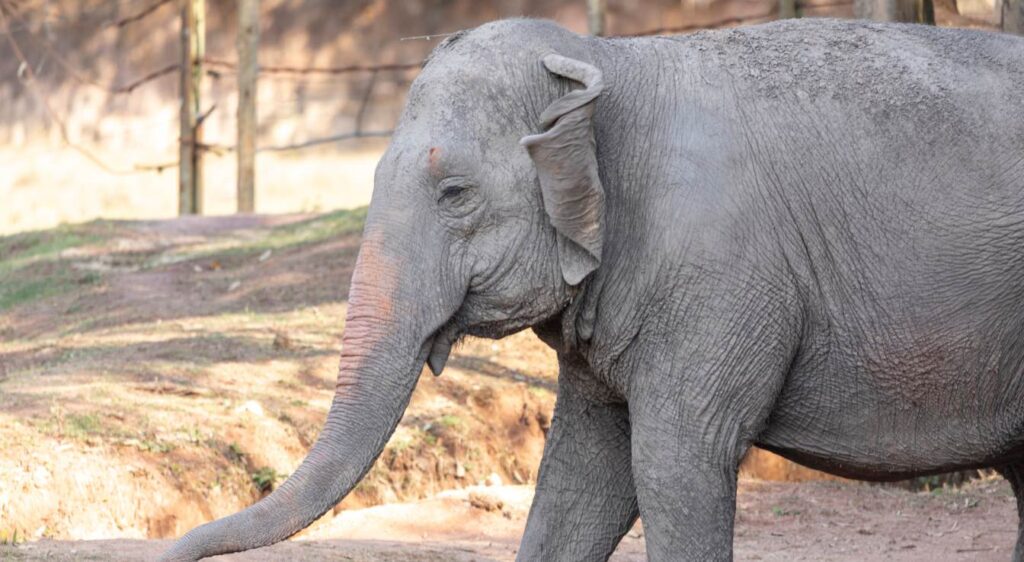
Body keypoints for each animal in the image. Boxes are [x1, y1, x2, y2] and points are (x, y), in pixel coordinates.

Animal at [160, 17, 1024, 561]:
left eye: (455, 194)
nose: (170, 553)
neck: (611, 59)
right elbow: (580, 482)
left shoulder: (718, 275)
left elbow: (674, 467)